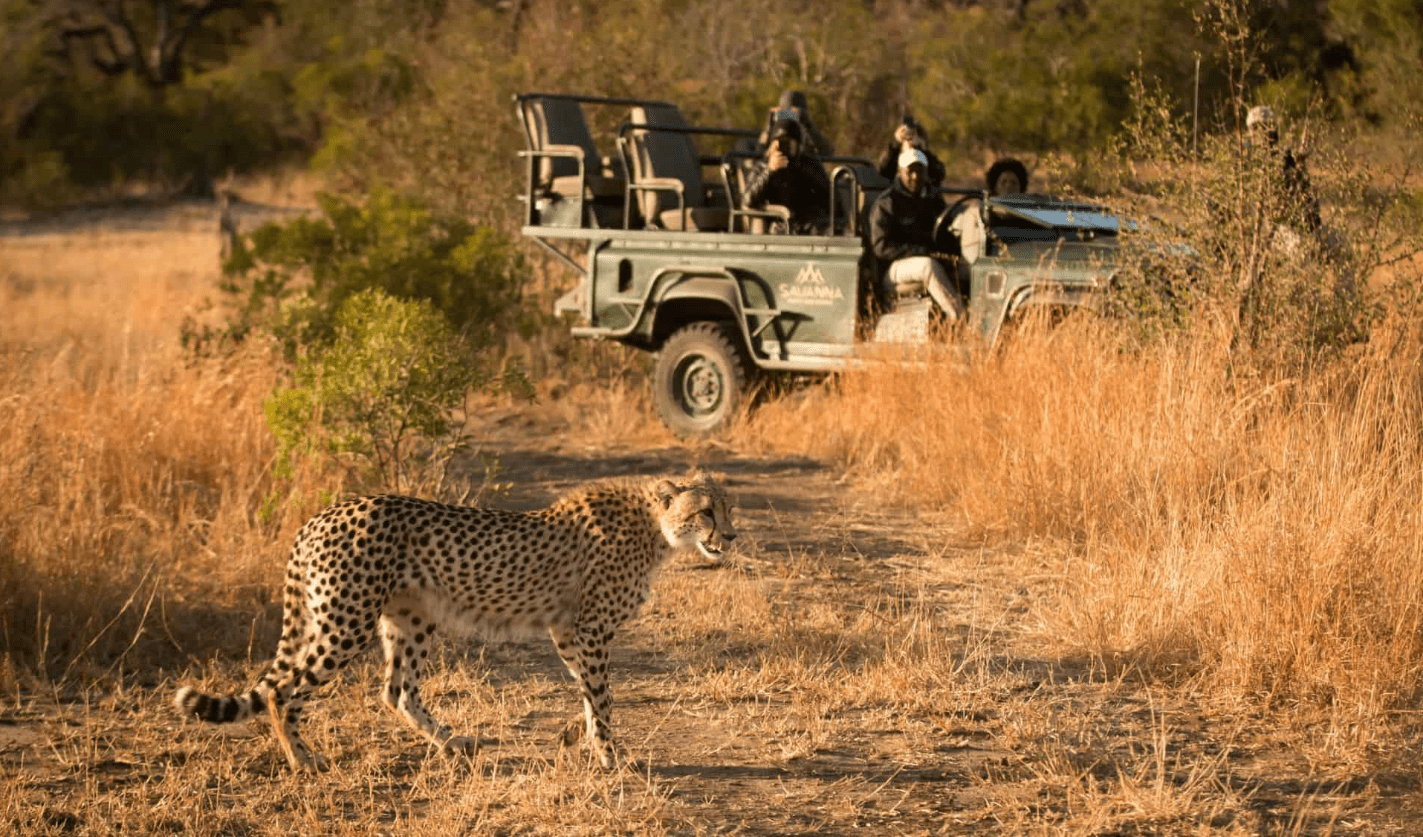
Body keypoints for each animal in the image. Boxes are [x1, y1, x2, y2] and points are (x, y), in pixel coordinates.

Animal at [173, 472, 736, 771]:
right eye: (706, 511)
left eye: (730, 509)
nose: (730, 536)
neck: (656, 527)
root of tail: (321, 514)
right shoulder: (590, 629)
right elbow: (602, 694)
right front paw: (610, 755)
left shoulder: (567, 630)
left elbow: (589, 692)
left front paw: (581, 737)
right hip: (345, 620)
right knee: (280, 689)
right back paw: (301, 760)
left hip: (409, 617)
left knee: (396, 691)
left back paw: (451, 744)